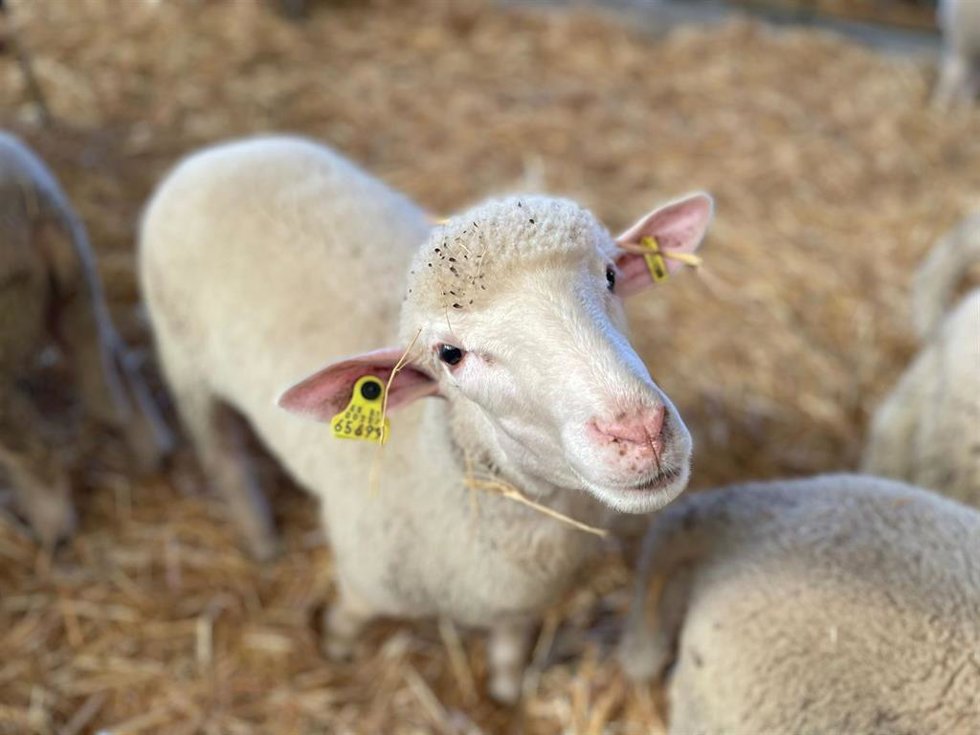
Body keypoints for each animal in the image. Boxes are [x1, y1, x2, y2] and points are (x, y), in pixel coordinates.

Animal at [0, 131, 171, 546]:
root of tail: (32, 212)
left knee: (32, 448)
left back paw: (50, 532)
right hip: (78, 289)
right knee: (113, 370)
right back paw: (153, 455)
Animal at [139, 135, 713, 701]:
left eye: (611, 275)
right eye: (450, 355)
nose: (639, 430)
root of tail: (225, 151)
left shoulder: (517, 602)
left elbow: (509, 653)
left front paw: (507, 696)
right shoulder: (364, 583)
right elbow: (346, 623)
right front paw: (335, 651)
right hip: (183, 359)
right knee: (222, 453)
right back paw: (260, 538)